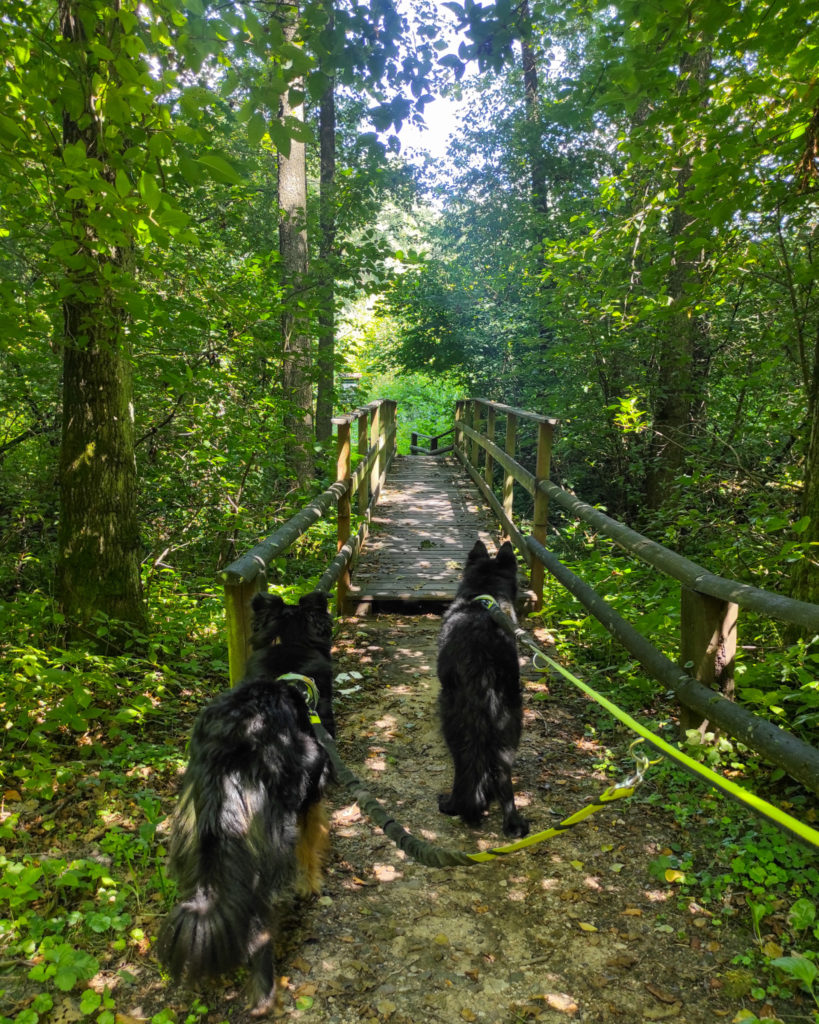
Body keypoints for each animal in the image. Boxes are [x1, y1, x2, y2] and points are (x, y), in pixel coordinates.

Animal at [156, 589, 335, 1011]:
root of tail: (228, 749)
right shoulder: (311, 796)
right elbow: (311, 845)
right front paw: (312, 885)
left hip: (195, 842)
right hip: (268, 846)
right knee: (260, 923)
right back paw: (264, 995)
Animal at [434, 540, 532, 835]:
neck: (484, 594)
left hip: (456, 720)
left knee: (465, 766)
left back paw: (454, 805)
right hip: (510, 721)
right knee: (502, 773)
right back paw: (511, 821)